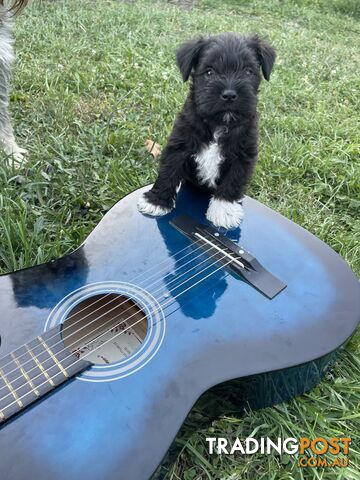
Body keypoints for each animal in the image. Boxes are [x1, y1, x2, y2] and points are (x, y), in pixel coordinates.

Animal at [138, 32, 276, 230]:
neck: (218, 123)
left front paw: (224, 210)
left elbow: (233, 181)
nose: (229, 94)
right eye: (209, 72)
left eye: (248, 71)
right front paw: (157, 201)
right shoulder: (179, 145)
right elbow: (169, 170)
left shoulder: (243, 156)